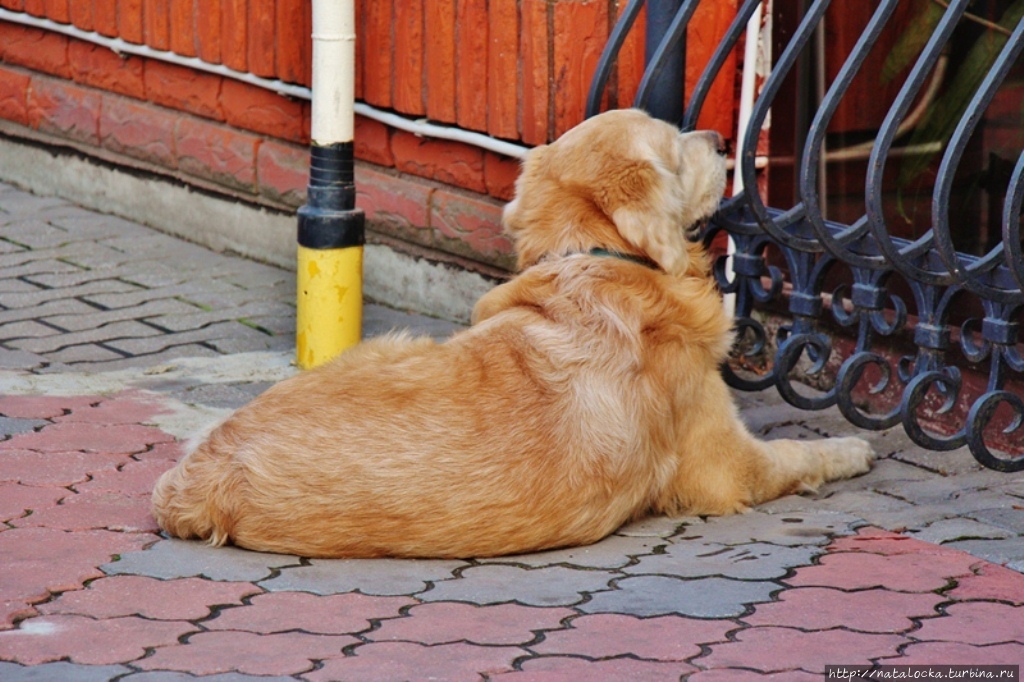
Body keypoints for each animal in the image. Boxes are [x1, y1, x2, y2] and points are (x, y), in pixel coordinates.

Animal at [149, 106, 872, 557]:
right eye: (675, 146)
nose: (723, 138)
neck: (599, 258)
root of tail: (200, 483)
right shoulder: (729, 467)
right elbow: (800, 456)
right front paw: (852, 448)